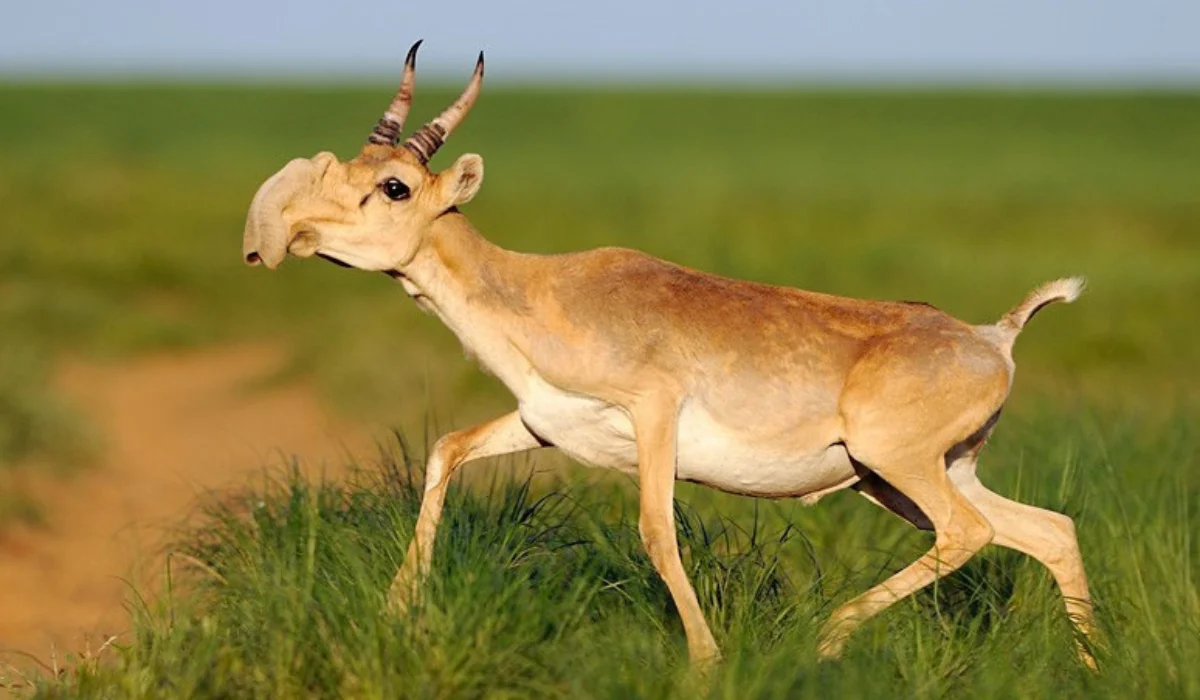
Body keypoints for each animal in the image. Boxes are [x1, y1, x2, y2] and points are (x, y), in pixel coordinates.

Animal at [241, 43, 1099, 667]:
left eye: (393, 187)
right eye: (348, 167)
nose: (286, 233)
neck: (541, 290)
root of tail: (993, 337)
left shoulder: (653, 414)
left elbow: (657, 530)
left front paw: (707, 662)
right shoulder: (543, 424)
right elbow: (446, 449)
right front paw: (398, 611)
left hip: (897, 467)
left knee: (971, 534)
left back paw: (827, 638)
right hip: (910, 477)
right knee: (1048, 530)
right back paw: (1091, 666)